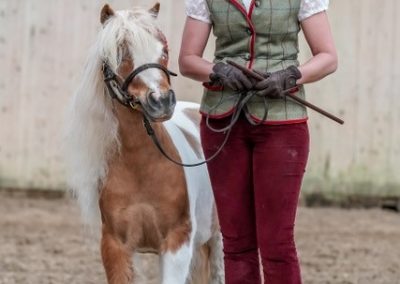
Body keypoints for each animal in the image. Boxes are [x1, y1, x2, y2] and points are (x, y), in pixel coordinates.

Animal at [64, 2, 223, 284]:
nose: (161, 101)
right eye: (120, 52)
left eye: (164, 50)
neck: (142, 167)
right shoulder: (115, 247)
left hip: (216, 240)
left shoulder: (177, 244)